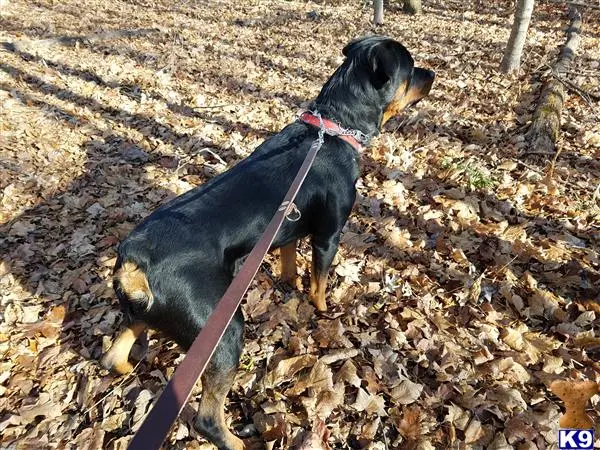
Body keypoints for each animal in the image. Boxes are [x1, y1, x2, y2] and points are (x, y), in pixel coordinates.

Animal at [101, 36, 434, 450]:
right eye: (412, 69)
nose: (433, 74)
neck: (333, 128)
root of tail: (135, 260)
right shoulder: (329, 235)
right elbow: (319, 282)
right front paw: (323, 310)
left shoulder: (288, 226)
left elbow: (290, 260)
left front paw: (289, 284)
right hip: (222, 333)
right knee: (206, 418)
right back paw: (235, 440)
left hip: (142, 314)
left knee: (113, 355)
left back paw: (130, 367)